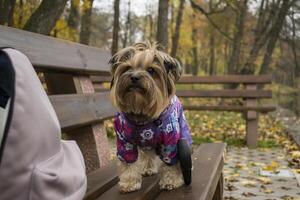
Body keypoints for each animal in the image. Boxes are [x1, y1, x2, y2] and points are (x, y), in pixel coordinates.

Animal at [108, 41, 192, 193]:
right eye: (127, 68)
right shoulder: (124, 141)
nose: (134, 77)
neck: (143, 116)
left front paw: (170, 181)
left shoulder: (171, 141)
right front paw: (129, 182)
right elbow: (128, 162)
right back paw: (148, 168)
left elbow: (171, 162)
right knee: (147, 154)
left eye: (151, 70)